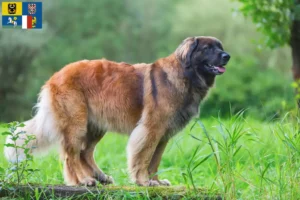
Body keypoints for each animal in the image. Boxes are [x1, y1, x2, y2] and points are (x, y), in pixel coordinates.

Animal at [4, 35, 230, 186]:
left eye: (220, 47)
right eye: (208, 48)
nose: (227, 56)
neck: (186, 75)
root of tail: (55, 75)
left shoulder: (163, 135)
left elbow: (155, 161)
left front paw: (156, 181)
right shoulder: (151, 130)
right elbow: (144, 157)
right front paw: (144, 181)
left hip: (95, 126)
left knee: (85, 152)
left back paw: (100, 176)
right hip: (76, 123)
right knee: (72, 155)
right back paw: (85, 180)